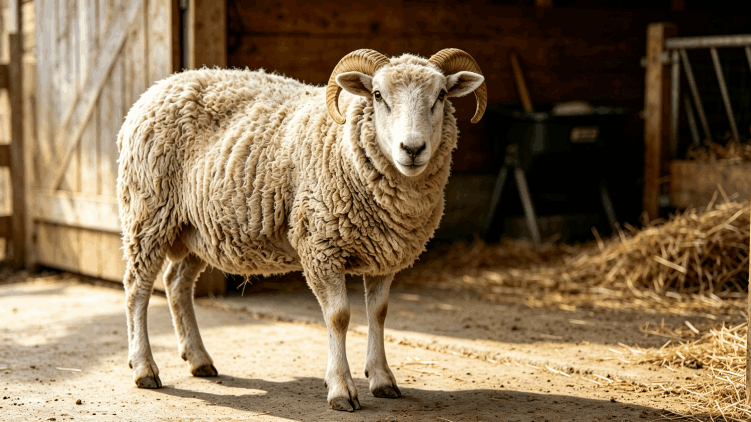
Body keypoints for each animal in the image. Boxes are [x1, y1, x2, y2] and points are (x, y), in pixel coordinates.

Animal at [117, 48, 486, 411]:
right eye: (378, 95)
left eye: (441, 95)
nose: (412, 149)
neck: (343, 145)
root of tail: (158, 87)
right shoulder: (320, 246)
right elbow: (339, 317)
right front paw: (341, 389)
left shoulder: (385, 255)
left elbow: (378, 314)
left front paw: (382, 379)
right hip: (148, 213)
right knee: (137, 288)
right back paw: (144, 368)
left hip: (198, 229)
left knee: (176, 284)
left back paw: (198, 359)